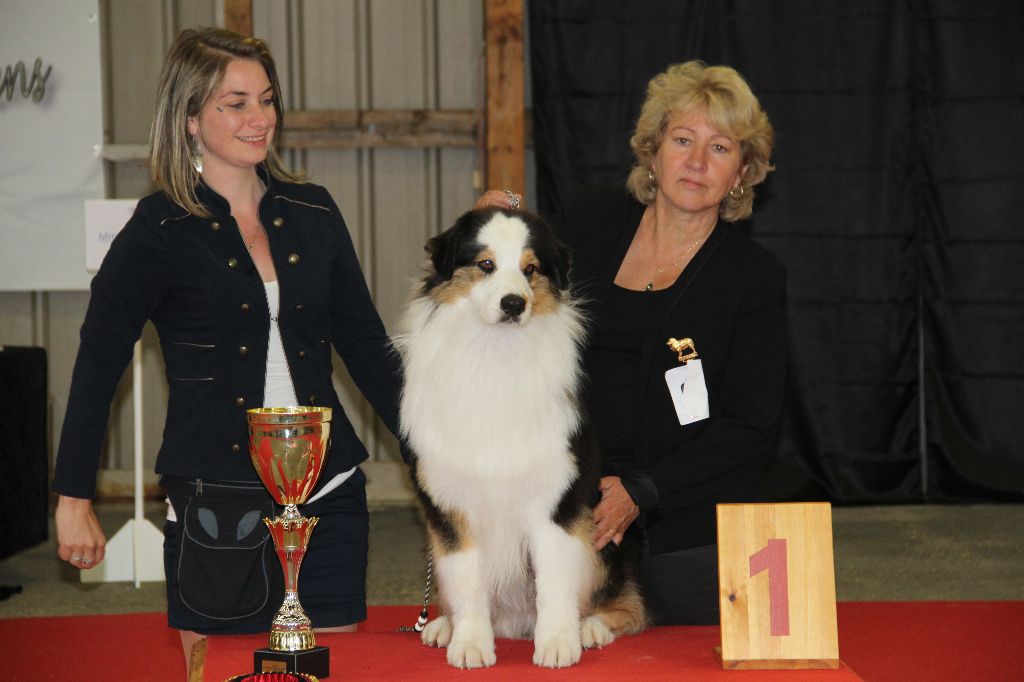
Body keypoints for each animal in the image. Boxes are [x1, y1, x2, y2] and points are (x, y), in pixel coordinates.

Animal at [393, 205, 643, 663]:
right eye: (485, 265)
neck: (496, 352)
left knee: (626, 604)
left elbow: (555, 583)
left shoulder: (557, 499)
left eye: (530, 269)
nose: (514, 304)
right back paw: (443, 626)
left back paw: (591, 627)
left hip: (605, 532)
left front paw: (559, 644)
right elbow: (468, 582)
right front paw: (470, 644)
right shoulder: (452, 505)